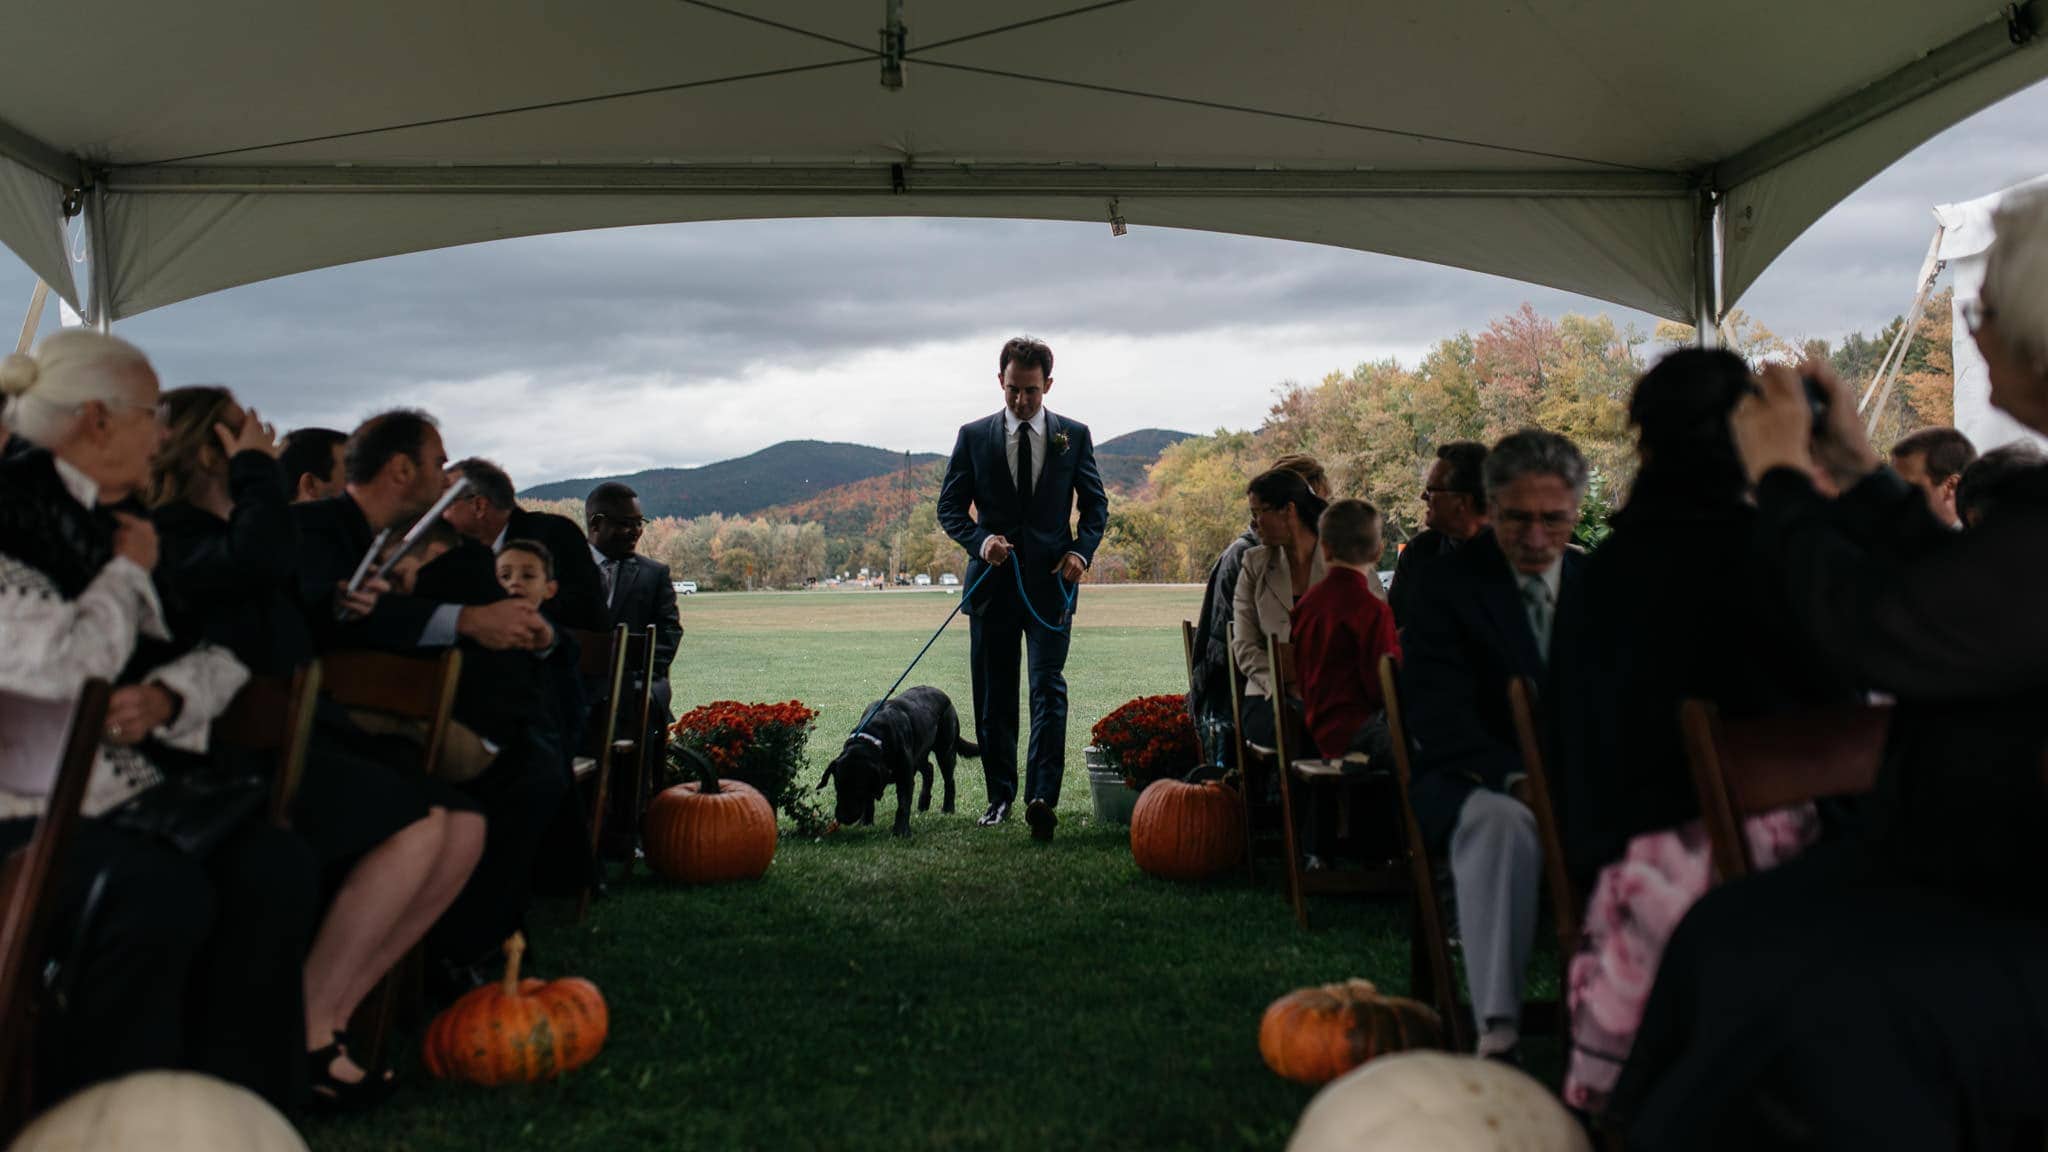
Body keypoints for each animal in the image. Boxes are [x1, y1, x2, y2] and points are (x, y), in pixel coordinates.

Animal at [815, 680, 974, 832]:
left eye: (858, 789)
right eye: (838, 787)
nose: (843, 817)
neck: (875, 738)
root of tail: (945, 696)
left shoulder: (905, 775)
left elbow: (903, 804)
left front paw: (900, 831)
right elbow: (870, 800)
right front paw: (866, 822)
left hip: (945, 750)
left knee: (949, 780)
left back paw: (948, 808)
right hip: (920, 752)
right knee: (929, 769)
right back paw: (923, 803)